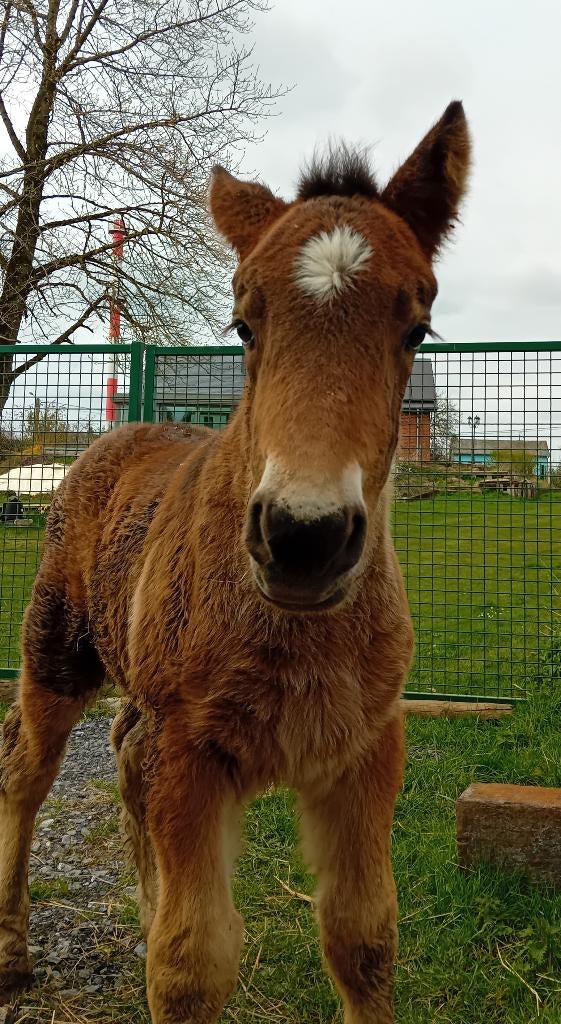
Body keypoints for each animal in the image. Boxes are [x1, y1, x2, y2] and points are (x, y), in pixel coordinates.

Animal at [0, 101, 470, 1023]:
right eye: (243, 324)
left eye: (417, 327)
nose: (302, 538)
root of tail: (113, 435)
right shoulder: (190, 752)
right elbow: (189, 965)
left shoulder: (368, 750)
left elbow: (364, 939)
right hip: (54, 651)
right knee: (25, 768)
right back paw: (10, 951)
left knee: (123, 753)